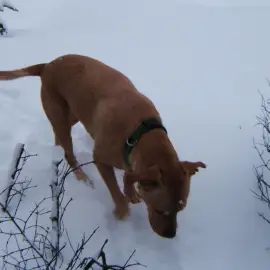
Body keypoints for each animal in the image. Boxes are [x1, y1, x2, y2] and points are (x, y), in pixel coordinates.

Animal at [0, 54, 206, 238]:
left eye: (180, 209)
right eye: (160, 210)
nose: (170, 235)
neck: (140, 133)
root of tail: (47, 65)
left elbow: (130, 177)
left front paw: (131, 191)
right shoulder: (101, 160)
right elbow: (117, 193)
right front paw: (121, 211)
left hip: (73, 114)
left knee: (60, 141)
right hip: (60, 114)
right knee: (69, 153)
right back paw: (81, 176)